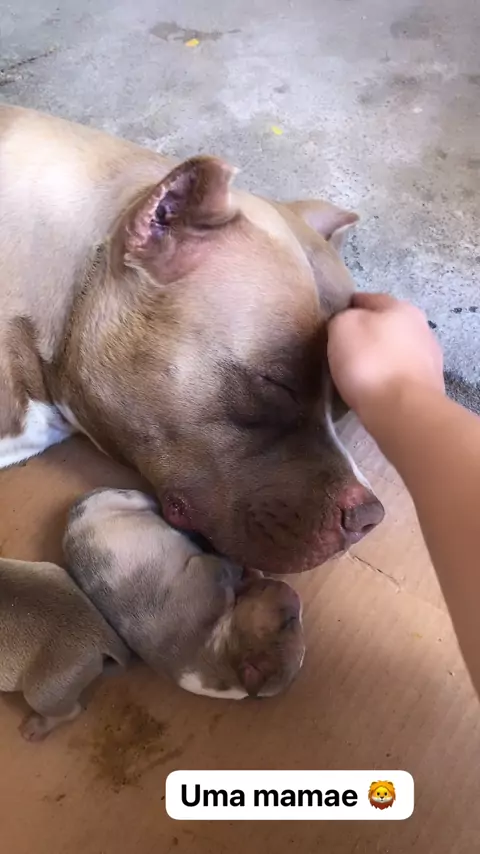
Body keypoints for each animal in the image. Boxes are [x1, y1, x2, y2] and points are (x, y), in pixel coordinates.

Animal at [63, 488, 305, 699]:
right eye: (291, 620)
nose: (295, 594)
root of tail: (72, 516)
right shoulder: (210, 567)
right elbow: (232, 568)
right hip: (129, 499)